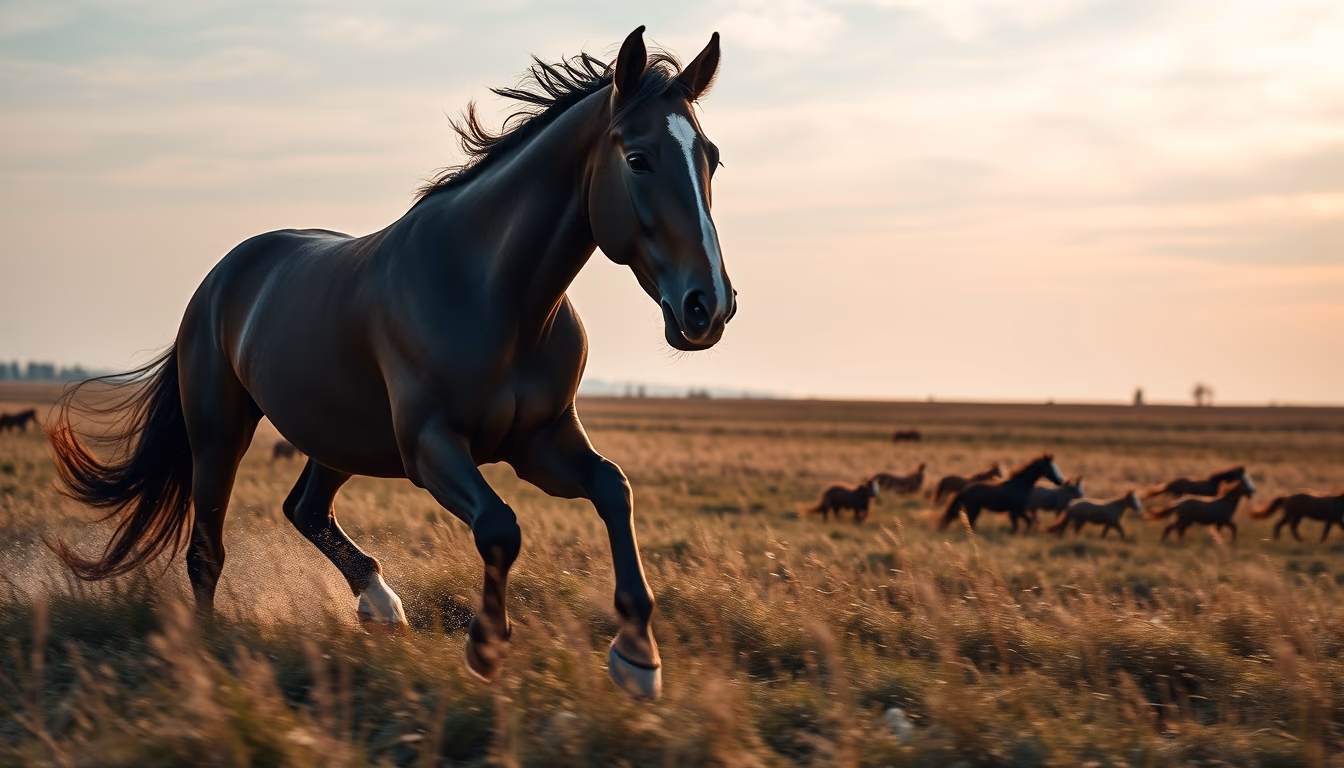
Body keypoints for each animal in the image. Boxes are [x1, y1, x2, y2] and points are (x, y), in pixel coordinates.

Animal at [43, 27, 733, 702]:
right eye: (638, 159)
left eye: (712, 158)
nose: (708, 306)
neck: (495, 295)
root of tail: (221, 276)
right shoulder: (430, 447)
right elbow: (500, 526)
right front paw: (486, 647)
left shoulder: (540, 442)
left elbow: (614, 489)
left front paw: (638, 658)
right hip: (220, 434)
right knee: (207, 550)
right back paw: (211, 651)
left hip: (339, 437)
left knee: (305, 509)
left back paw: (378, 603)